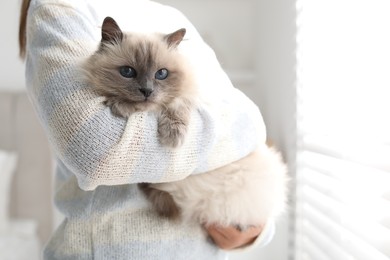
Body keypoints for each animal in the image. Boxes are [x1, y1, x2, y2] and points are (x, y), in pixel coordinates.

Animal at [83, 16, 290, 230]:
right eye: (127, 72)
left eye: (161, 74)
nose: (147, 91)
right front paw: (121, 105)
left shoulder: (192, 98)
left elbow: (176, 105)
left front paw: (172, 137)